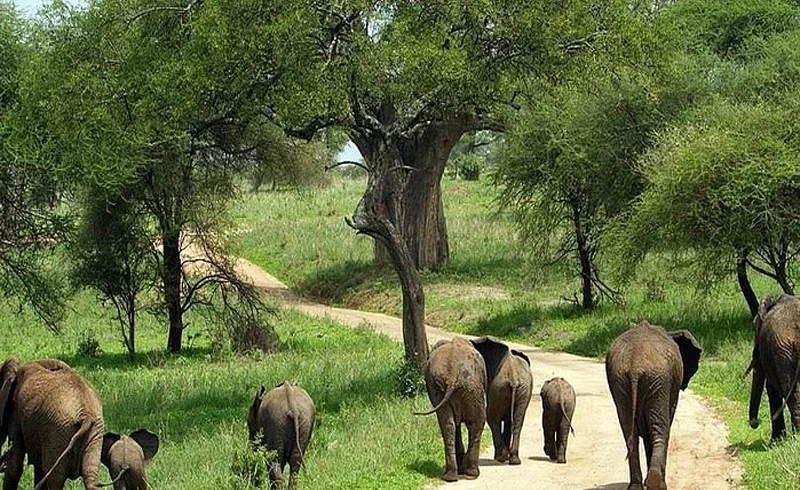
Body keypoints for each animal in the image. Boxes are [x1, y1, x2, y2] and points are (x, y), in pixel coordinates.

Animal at [0, 356, 104, 490]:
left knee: (55, 479)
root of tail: (86, 414)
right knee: (90, 476)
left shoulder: (16, 413)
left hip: (57, 430)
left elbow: (14, 465)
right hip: (94, 433)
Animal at [415, 337, 486, 482]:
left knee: (448, 424)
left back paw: (451, 476)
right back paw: (471, 474)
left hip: (444, 389)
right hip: (472, 388)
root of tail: (452, 375)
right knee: (477, 422)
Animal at [470, 336, 532, 465]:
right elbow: (509, 420)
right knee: (518, 421)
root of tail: (514, 378)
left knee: (491, 417)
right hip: (523, 390)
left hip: (499, 389)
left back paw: (501, 457)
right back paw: (514, 460)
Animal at [605, 322, 702, 490]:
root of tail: (635, 366)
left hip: (621, 381)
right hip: (658, 379)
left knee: (630, 434)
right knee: (660, 430)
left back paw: (637, 486)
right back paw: (658, 484)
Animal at [748, 294, 800, 440]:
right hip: (784, 353)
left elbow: (770, 388)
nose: (756, 422)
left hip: (783, 353)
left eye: (755, 329)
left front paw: (775, 441)